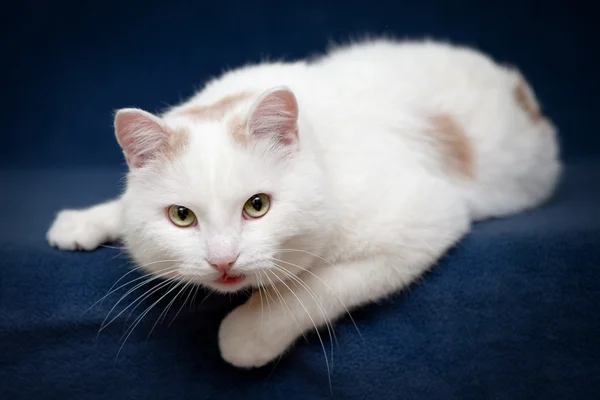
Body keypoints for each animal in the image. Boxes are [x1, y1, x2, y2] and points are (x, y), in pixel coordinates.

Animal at [47, 39, 564, 368]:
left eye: (257, 206)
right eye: (181, 216)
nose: (222, 261)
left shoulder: (424, 218)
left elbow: (314, 287)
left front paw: (247, 334)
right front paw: (85, 220)